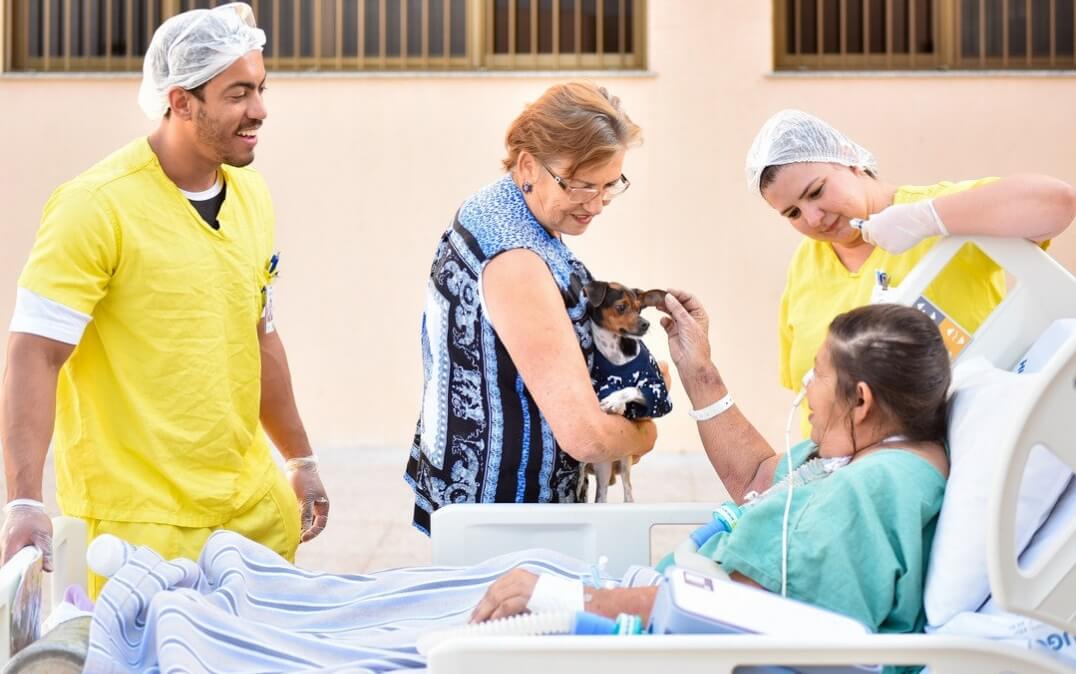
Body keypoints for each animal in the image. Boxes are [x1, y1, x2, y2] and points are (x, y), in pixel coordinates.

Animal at [576, 275, 667, 501]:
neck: (614, 350)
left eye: (639, 309)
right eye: (621, 307)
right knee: (600, 494)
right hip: (603, 466)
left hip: (624, 461)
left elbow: (631, 389)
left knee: (627, 489)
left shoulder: (658, 392)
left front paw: (614, 402)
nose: (646, 324)